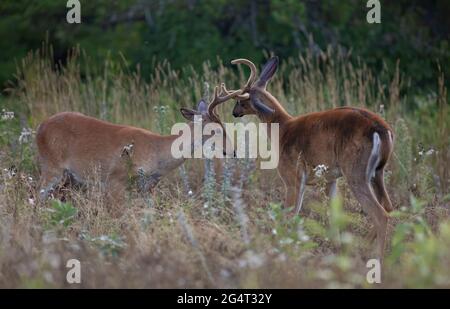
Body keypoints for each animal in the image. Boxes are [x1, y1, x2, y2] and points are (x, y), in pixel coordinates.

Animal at [37, 86, 243, 202]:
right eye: (217, 130)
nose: (233, 151)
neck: (158, 153)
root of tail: (40, 126)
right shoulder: (115, 180)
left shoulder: (147, 188)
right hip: (51, 167)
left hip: (70, 179)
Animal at [225, 56, 394, 258]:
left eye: (241, 100)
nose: (234, 112)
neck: (282, 129)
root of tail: (382, 130)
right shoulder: (331, 178)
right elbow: (332, 214)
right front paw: (335, 248)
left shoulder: (292, 176)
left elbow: (290, 214)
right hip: (378, 172)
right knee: (388, 205)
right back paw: (362, 248)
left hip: (356, 172)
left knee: (380, 214)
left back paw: (375, 257)